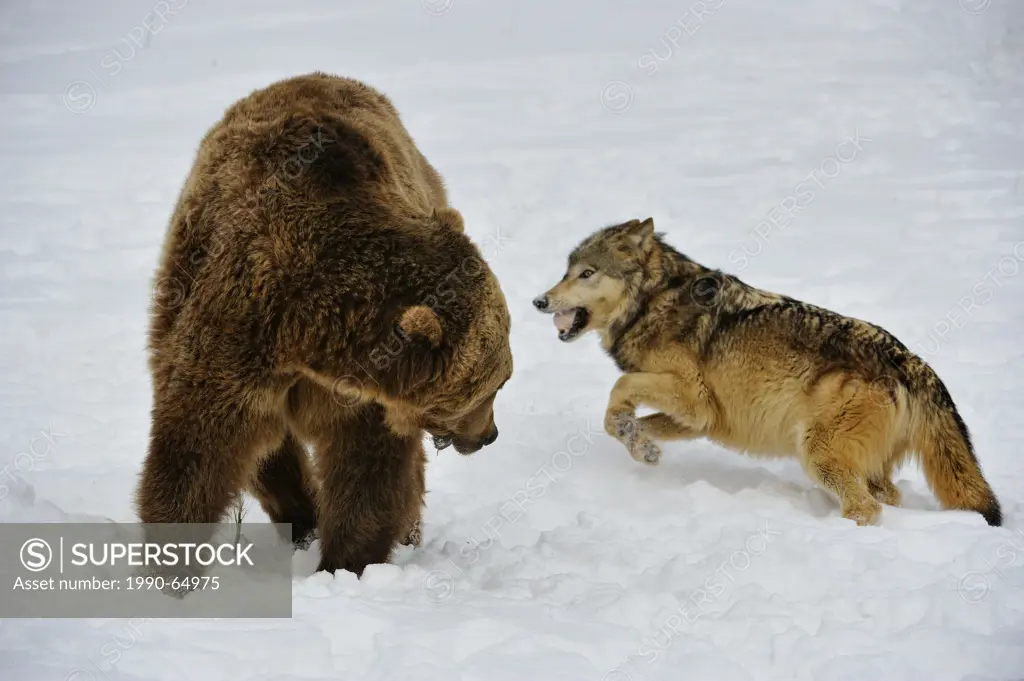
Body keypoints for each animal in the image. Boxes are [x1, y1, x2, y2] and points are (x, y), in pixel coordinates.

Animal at [138, 73, 512, 573]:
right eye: (494, 386)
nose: (488, 434)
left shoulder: (359, 387)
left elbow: (366, 469)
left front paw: (346, 561)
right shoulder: (233, 331)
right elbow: (198, 446)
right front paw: (171, 565)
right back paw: (303, 518)